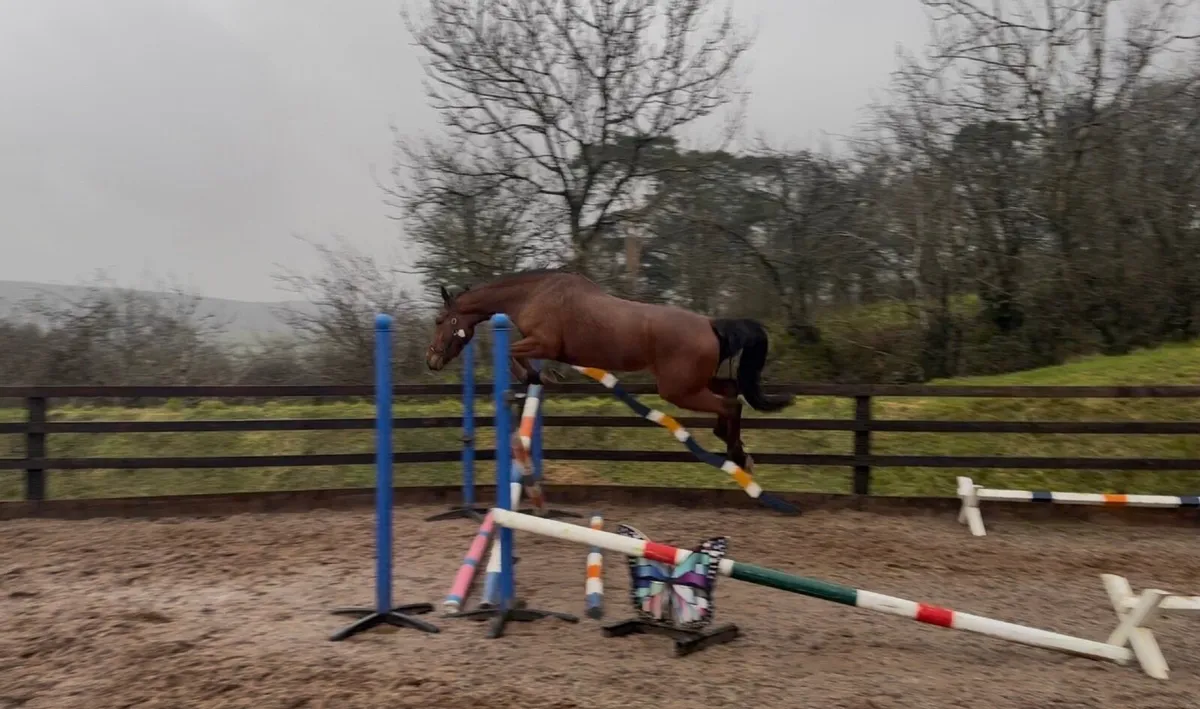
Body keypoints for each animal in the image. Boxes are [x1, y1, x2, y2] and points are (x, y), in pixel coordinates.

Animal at [424, 269, 794, 479]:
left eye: (440, 321)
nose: (431, 360)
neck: (533, 294)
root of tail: (710, 324)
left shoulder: (542, 343)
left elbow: (516, 356)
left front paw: (542, 378)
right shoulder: (542, 346)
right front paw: (541, 378)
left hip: (678, 389)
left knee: (731, 404)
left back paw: (738, 456)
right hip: (692, 383)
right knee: (732, 390)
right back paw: (736, 449)